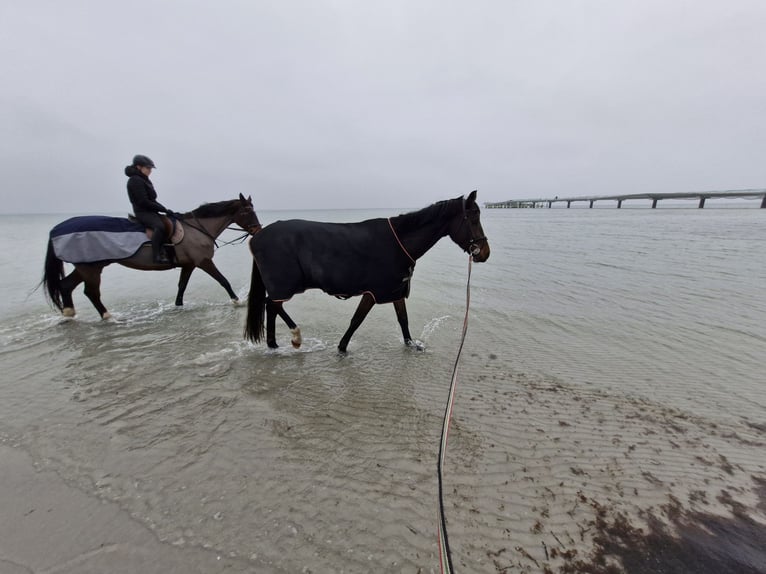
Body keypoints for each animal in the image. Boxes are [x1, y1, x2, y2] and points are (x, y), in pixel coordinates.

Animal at [45, 194, 260, 320]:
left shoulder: (189, 265)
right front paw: (238, 301)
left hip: (86, 266)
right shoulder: (203, 262)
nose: (257, 230)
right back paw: (107, 316)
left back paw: (69, 312)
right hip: (91, 268)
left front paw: (178, 306)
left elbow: (182, 287)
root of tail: (57, 230)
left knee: (66, 285)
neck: (197, 229)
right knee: (91, 292)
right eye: (247, 211)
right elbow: (223, 280)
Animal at [243, 190, 488, 352]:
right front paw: (342, 347)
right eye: (473, 218)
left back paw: (273, 344)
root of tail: (258, 236)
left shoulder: (395, 290)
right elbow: (356, 320)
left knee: (272, 308)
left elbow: (403, 319)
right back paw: (295, 337)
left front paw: (411, 344)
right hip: (286, 285)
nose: (484, 253)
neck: (401, 242)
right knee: (273, 305)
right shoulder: (374, 292)